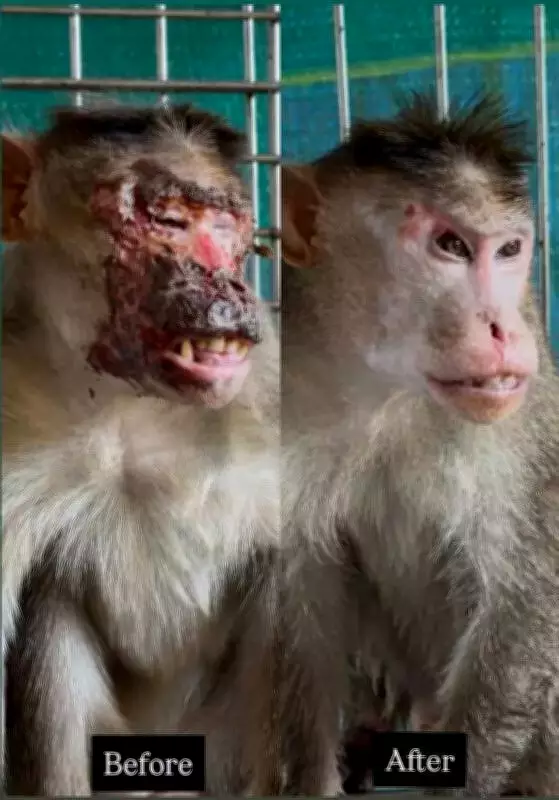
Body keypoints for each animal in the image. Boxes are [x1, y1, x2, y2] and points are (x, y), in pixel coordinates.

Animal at [279, 92, 559, 797]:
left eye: (510, 250)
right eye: (451, 246)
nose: (501, 327)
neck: (393, 395)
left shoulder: (525, 413)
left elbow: (523, 597)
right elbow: (300, 608)